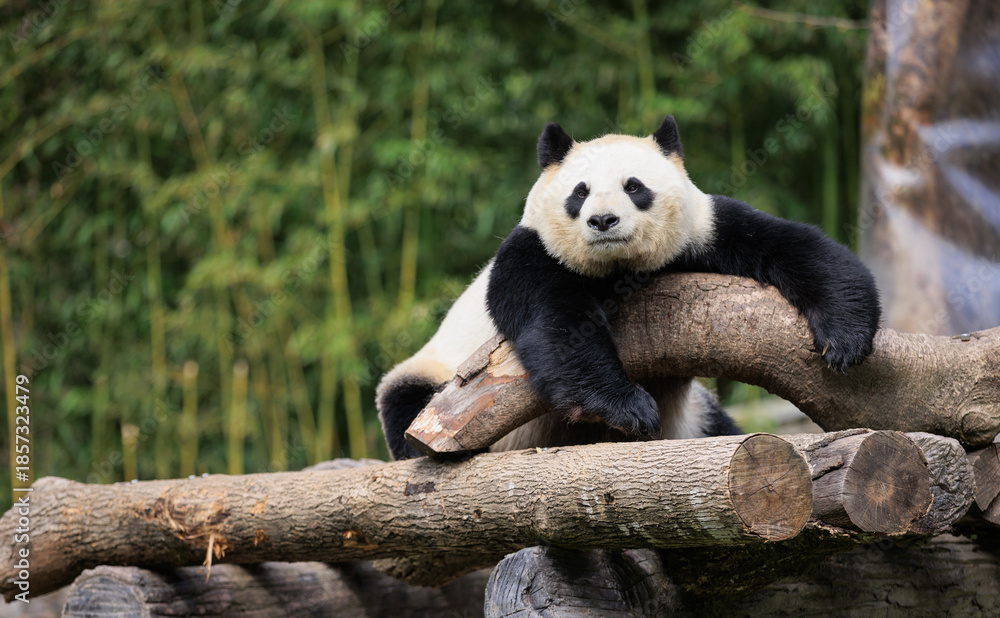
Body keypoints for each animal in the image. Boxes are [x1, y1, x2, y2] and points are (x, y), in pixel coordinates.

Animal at [377, 115, 880, 461]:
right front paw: (627, 406)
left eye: (634, 186)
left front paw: (845, 340)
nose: (603, 220)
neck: (618, 267)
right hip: (435, 375)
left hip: (695, 417)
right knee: (406, 403)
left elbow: (790, 245)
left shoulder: (701, 232)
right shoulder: (534, 253)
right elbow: (558, 326)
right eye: (579, 192)